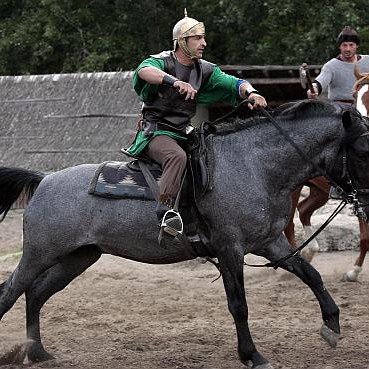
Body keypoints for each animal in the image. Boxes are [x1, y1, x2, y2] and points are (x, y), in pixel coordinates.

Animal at [0, 99, 368, 366]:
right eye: (363, 149)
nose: (366, 199)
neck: (254, 166)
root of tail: (44, 180)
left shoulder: (270, 243)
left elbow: (311, 274)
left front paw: (332, 326)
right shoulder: (230, 249)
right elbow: (239, 304)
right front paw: (251, 355)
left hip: (77, 257)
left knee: (35, 294)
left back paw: (39, 353)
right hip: (39, 254)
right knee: (11, 292)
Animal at [284, 67, 368, 280]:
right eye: (355, 96)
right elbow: (365, 237)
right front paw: (353, 272)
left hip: (319, 190)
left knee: (304, 210)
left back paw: (310, 252)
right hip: (293, 189)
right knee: (289, 224)